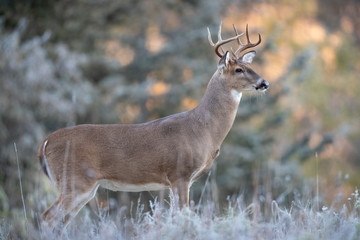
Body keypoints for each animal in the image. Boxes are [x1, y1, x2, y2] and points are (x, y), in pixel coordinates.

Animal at [38, 23, 268, 232]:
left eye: (251, 67)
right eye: (239, 69)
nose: (264, 83)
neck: (204, 129)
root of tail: (45, 142)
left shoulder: (180, 181)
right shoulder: (179, 173)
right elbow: (183, 216)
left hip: (84, 186)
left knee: (60, 221)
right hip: (75, 180)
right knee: (47, 216)